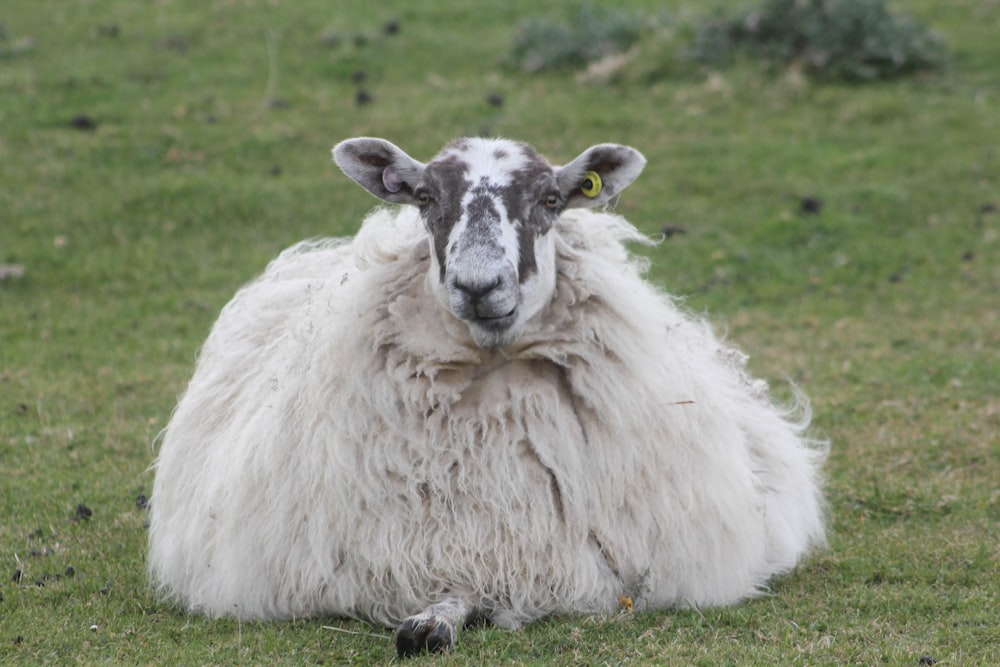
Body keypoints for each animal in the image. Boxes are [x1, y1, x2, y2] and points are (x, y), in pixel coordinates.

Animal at [146, 136, 820, 656]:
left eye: (551, 199)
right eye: (425, 198)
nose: (479, 286)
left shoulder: (580, 564)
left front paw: (437, 620)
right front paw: (428, 622)